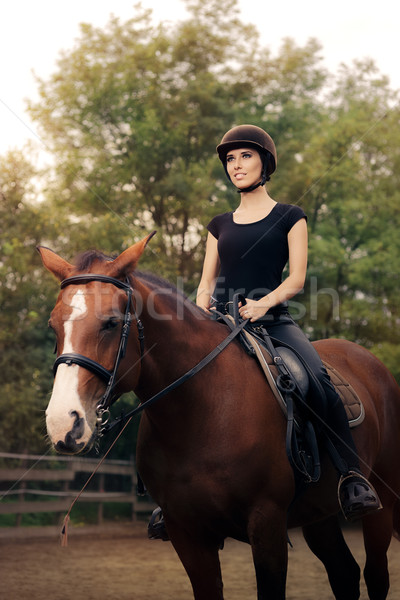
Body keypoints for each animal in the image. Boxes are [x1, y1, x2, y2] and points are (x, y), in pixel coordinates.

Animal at [38, 236, 400, 600]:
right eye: (53, 325)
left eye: (111, 323)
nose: (63, 423)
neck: (201, 413)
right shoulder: (186, 533)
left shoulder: (267, 524)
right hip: (318, 515)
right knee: (345, 573)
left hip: (381, 502)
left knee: (375, 575)